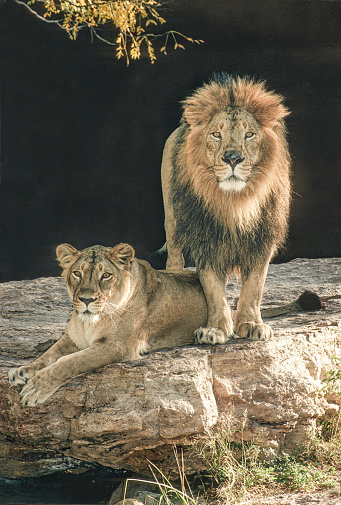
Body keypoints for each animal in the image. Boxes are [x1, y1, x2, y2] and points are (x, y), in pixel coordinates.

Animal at [157, 73, 290, 342]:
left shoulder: (263, 238)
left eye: (249, 134)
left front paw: (252, 324)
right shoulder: (204, 238)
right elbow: (212, 289)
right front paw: (215, 329)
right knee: (174, 259)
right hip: (173, 221)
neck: (234, 203)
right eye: (216, 134)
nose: (233, 158)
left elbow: (254, 287)